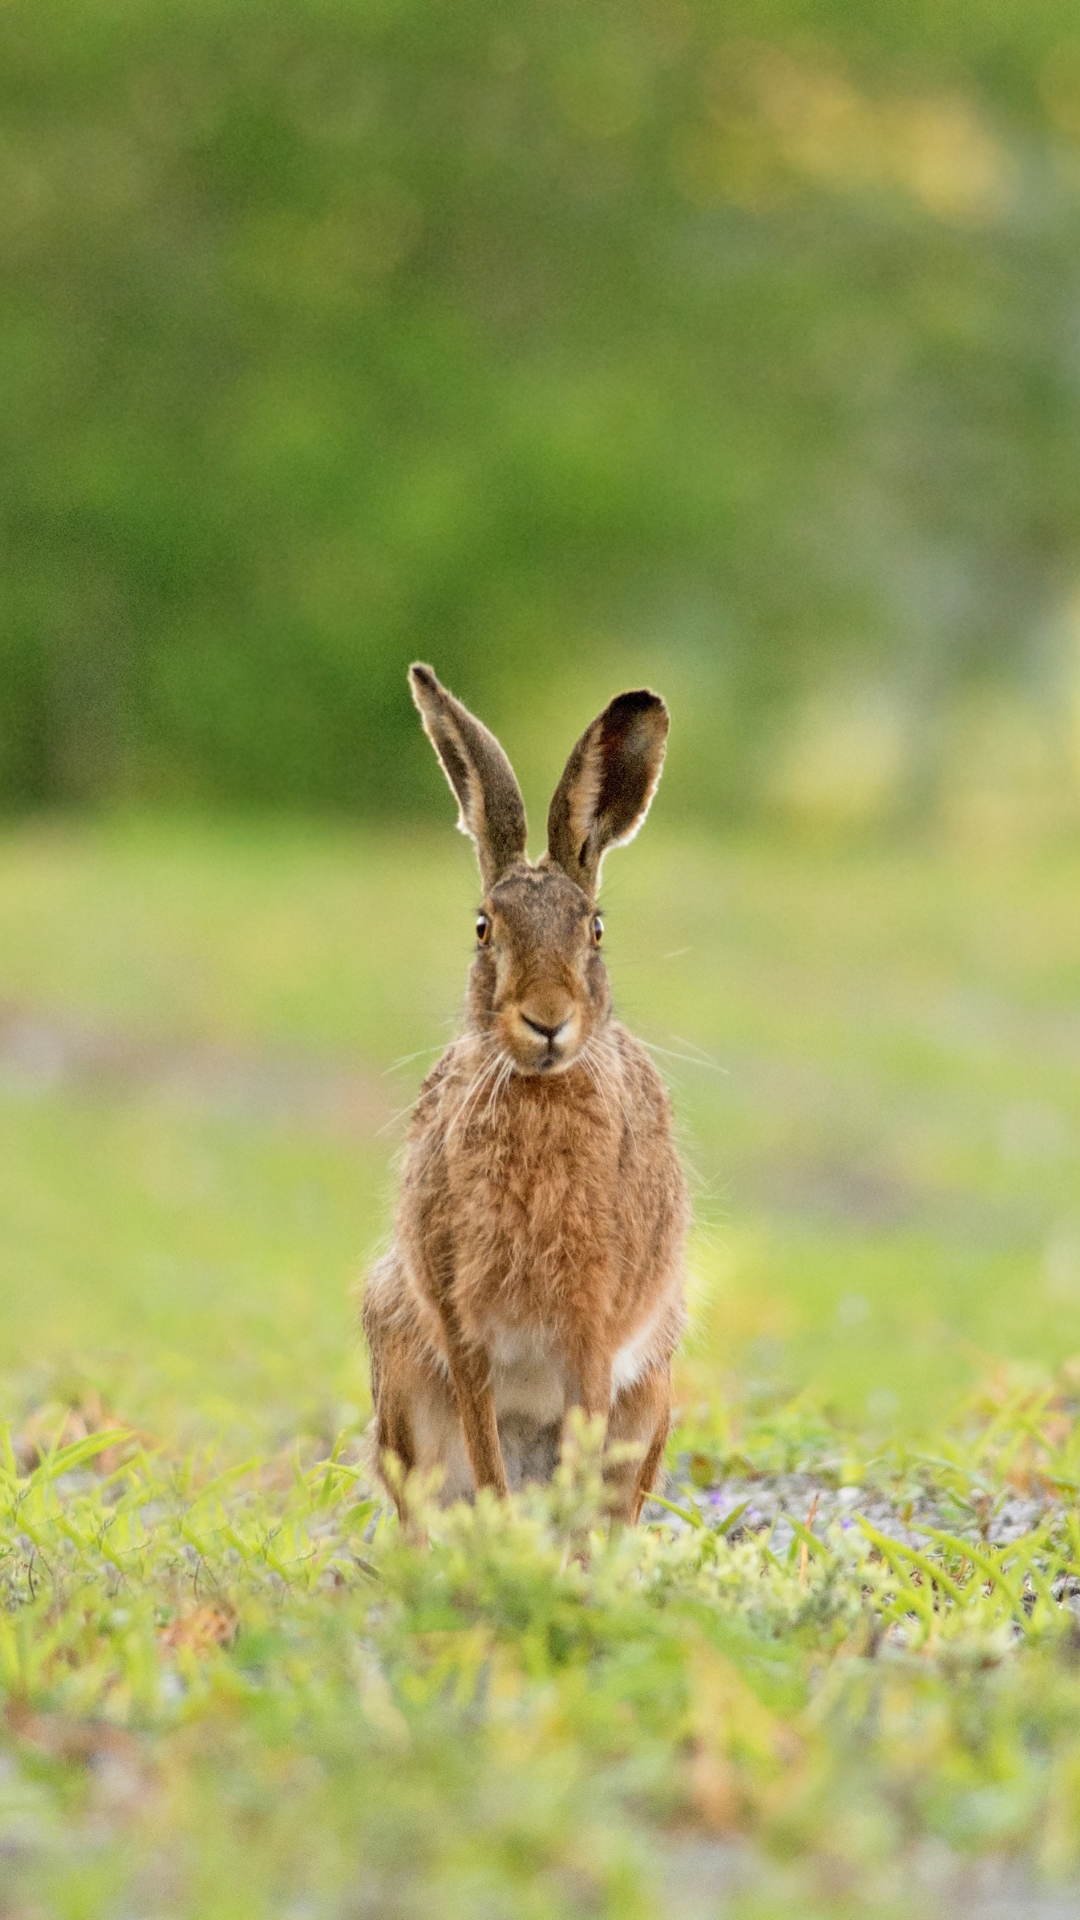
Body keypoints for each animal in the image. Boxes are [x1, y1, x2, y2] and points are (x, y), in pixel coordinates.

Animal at [361, 663, 689, 1523]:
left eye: (596, 929)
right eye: (483, 928)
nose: (548, 1020)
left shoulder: (594, 1333)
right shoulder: (461, 1327)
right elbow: (486, 1464)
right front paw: (505, 1548)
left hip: (655, 1389)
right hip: (399, 1369)